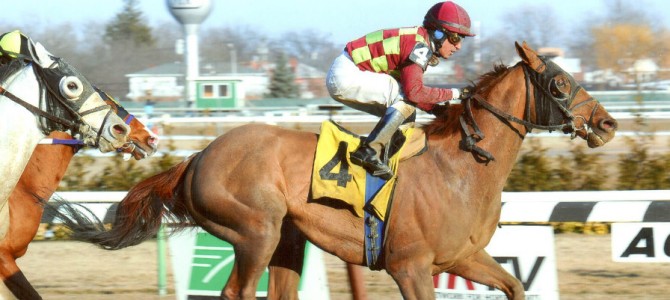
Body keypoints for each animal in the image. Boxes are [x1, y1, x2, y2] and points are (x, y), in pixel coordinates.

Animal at [69, 42, 620, 300]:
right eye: (559, 83)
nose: (608, 123)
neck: (463, 166)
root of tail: (197, 157)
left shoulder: (462, 256)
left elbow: (514, 284)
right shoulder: (410, 266)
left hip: (287, 239)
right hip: (255, 231)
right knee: (236, 290)